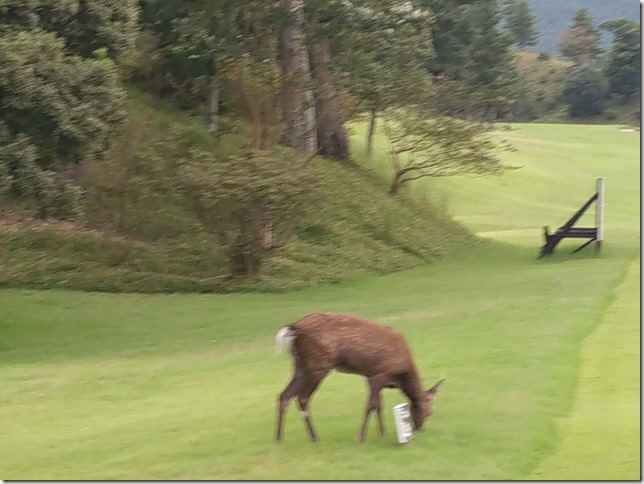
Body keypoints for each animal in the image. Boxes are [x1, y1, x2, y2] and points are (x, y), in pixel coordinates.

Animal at [274, 314, 446, 442]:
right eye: (428, 411)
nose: (419, 428)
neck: (401, 377)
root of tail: (294, 328)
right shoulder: (380, 374)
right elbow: (371, 405)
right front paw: (361, 437)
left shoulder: (370, 377)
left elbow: (379, 405)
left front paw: (382, 433)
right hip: (318, 365)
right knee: (302, 397)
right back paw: (314, 437)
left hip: (300, 365)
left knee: (284, 395)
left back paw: (279, 438)